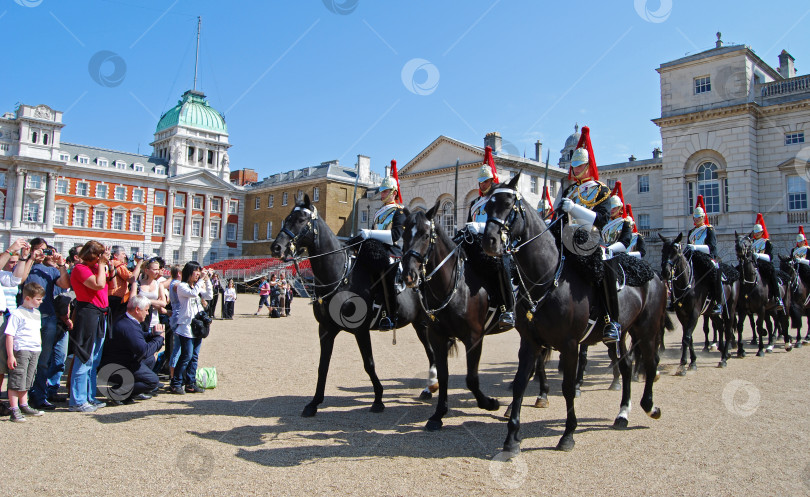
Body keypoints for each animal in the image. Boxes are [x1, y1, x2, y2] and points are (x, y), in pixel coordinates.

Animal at [270, 196, 436, 416]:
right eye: (287, 217)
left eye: (301, 219)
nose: (276, 248)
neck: (341, 275)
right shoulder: (326, 329)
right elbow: (323, 366)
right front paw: (314, 403)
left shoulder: (361, 330)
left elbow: (369, 364)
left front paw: (378, 399)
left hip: (424, 323)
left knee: (432, 352)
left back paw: (430, 387)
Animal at [400, 202, 508, 430]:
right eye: (403, 234)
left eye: (425, 235)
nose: (408, 275)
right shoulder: (437, 336)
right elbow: (443, 374)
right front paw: (438, 414)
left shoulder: (474, 337)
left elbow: (471, 378)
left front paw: (489, 403)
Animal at [480, 172, 668, 452]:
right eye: (487, 207)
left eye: (509, 206)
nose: (488, 241)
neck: (547, 278)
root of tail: (652, 273)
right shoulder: (530, 342)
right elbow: (520, 383)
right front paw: (511, 436)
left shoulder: (569, 345)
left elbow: (568, 387)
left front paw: (568, 434)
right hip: (622, 333)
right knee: (626, 366)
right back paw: (623, 413)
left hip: (646, 329)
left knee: (651, 362)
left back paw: (650, 406)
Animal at [656, 233, 740, 368]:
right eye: (663, 250)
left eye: (676, 251)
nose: (665, 272)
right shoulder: (682, 314)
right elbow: (688, 336)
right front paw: (690, 360)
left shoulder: (694, 313)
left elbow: (687, 336)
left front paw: (686, 362)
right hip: (711, 311)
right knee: (720, 326)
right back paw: (724, 352)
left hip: (730, 309)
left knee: (728, 329)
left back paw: (723, 358)